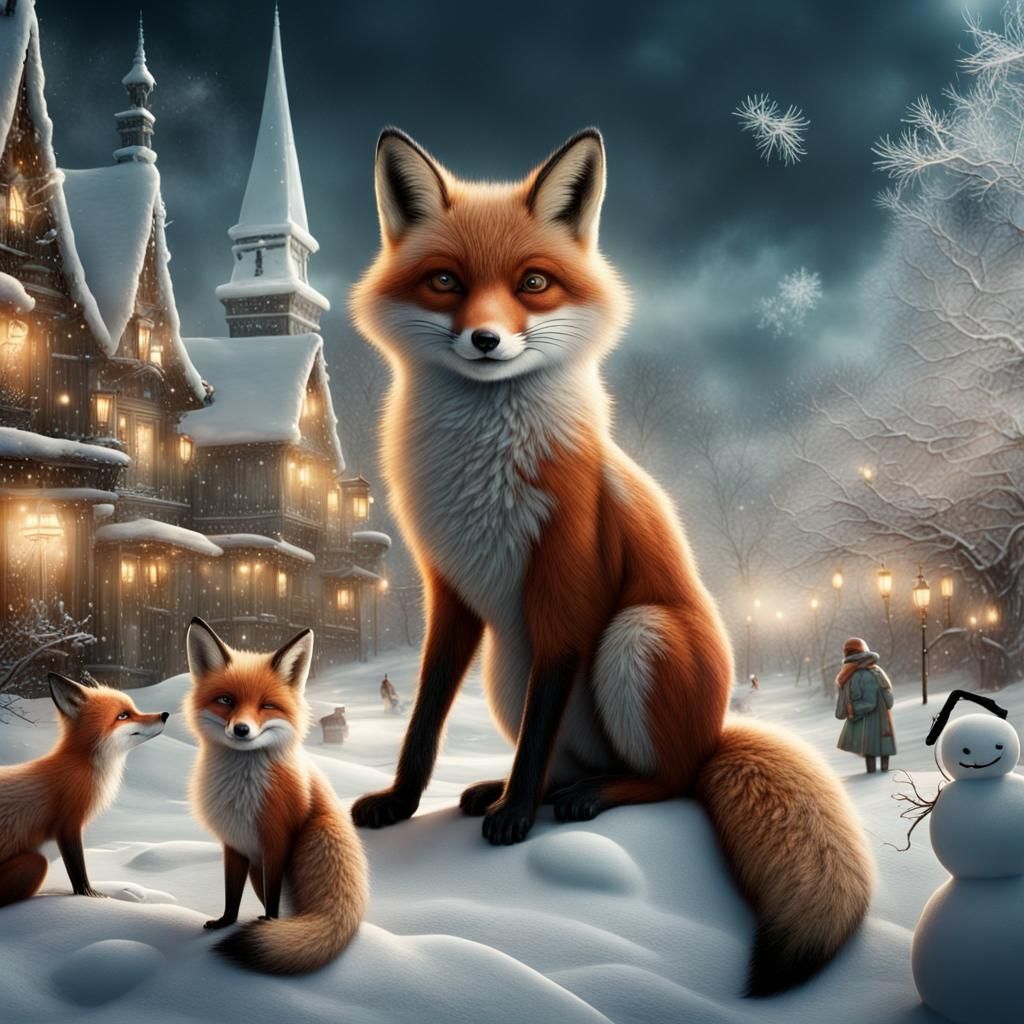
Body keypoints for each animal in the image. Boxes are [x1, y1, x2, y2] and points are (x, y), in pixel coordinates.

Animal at [0, 672, 168, 906]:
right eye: (123, 715)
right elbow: (78, 871)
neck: (81, 765)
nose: (165, 714)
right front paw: (90, 896)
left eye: (133, 709)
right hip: (35, 864)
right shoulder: (68, 824)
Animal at [185, 617, 368, 974]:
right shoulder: (234, 843)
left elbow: (273, 899)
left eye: (267, 706)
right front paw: (226, 923)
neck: (242, 795)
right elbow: (231, 892)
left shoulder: (276, 839)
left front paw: (269, 926)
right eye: (226, 700)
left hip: (314, 838)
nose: (241, 730)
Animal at [349, 127, 874, 995]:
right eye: (445, 281)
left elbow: (532, 737)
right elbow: (424, 718)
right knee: (567, 758)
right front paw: (402, 799)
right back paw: (507, 789)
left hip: (636, 633)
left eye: (533, 283)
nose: (486, 340)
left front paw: (516, 819)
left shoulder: (567, 588)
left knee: (667, 781)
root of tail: (717, 732)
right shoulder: (449, 593)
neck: (484, 470)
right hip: (509, 666)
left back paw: (577, 799)